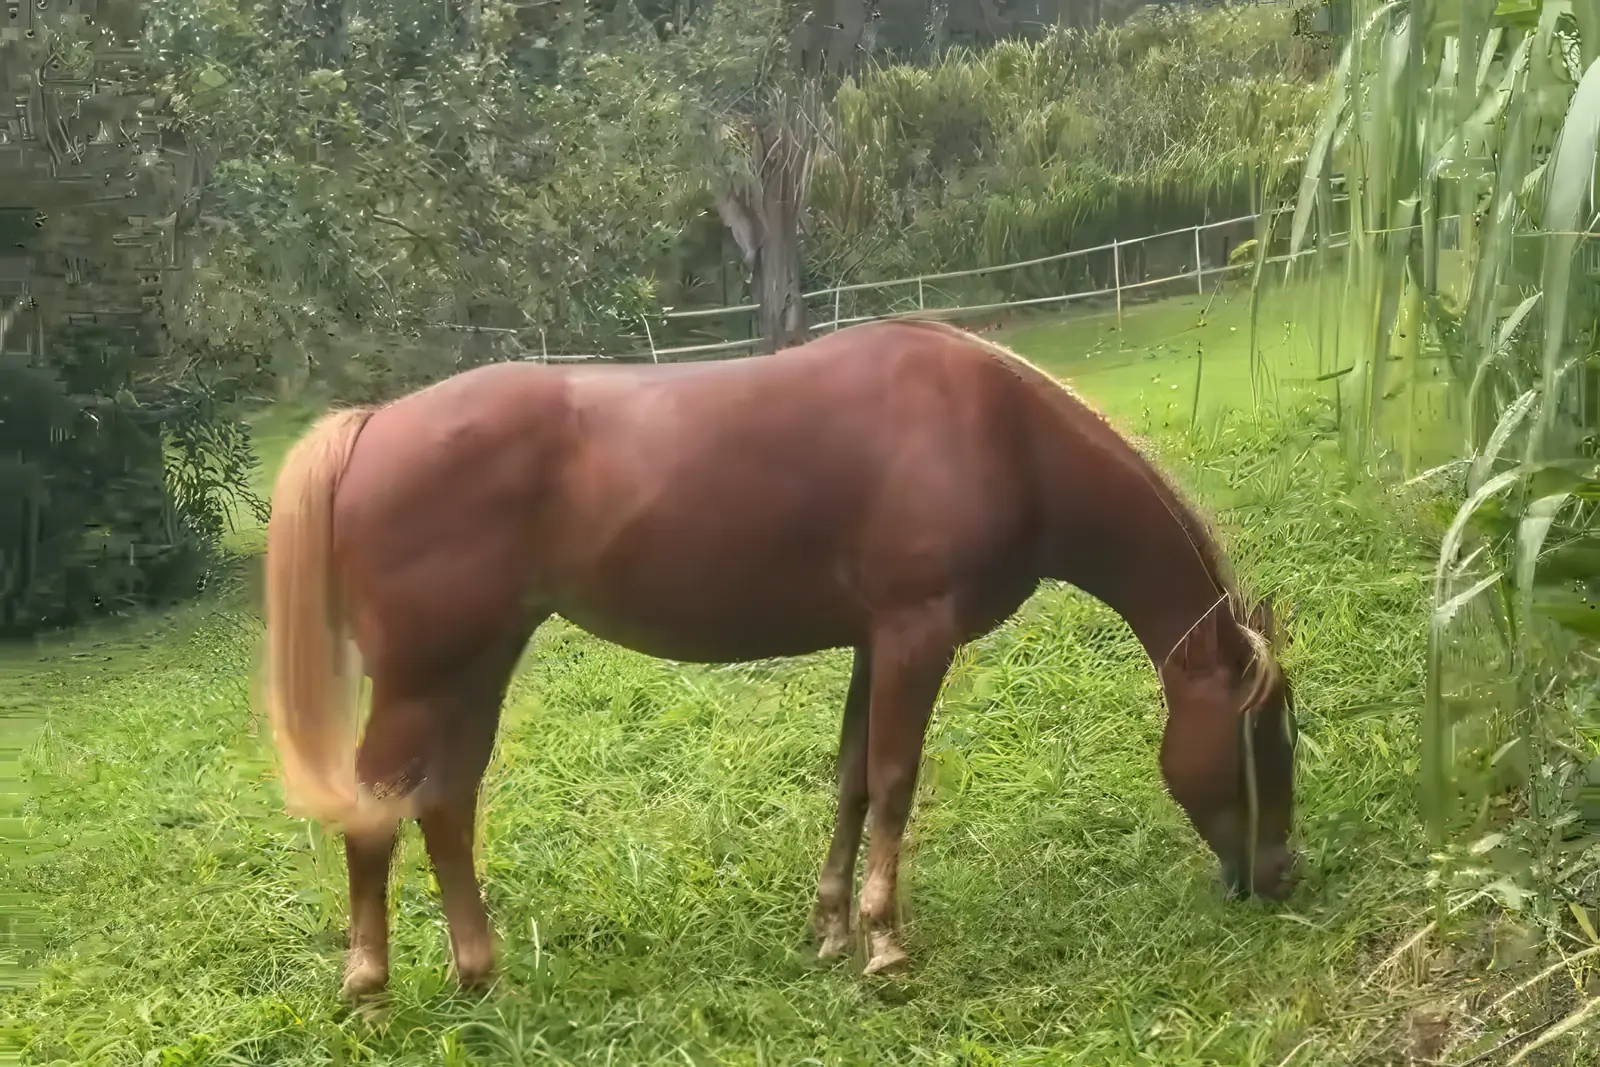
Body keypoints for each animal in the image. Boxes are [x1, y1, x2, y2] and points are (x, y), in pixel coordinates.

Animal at [260, 317, 1298, 1002]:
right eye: (1267, 736)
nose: (1281, 873)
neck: (999, 431)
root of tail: (372, 425)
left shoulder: (874, 641)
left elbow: (852, 779)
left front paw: (832, 927)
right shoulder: (916, 635)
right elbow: (894, 777)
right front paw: (883, 943)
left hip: (478, 666)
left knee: (446, 805)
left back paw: (479, 974)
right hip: (421, 678)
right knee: (377, 806)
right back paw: (369, 981)